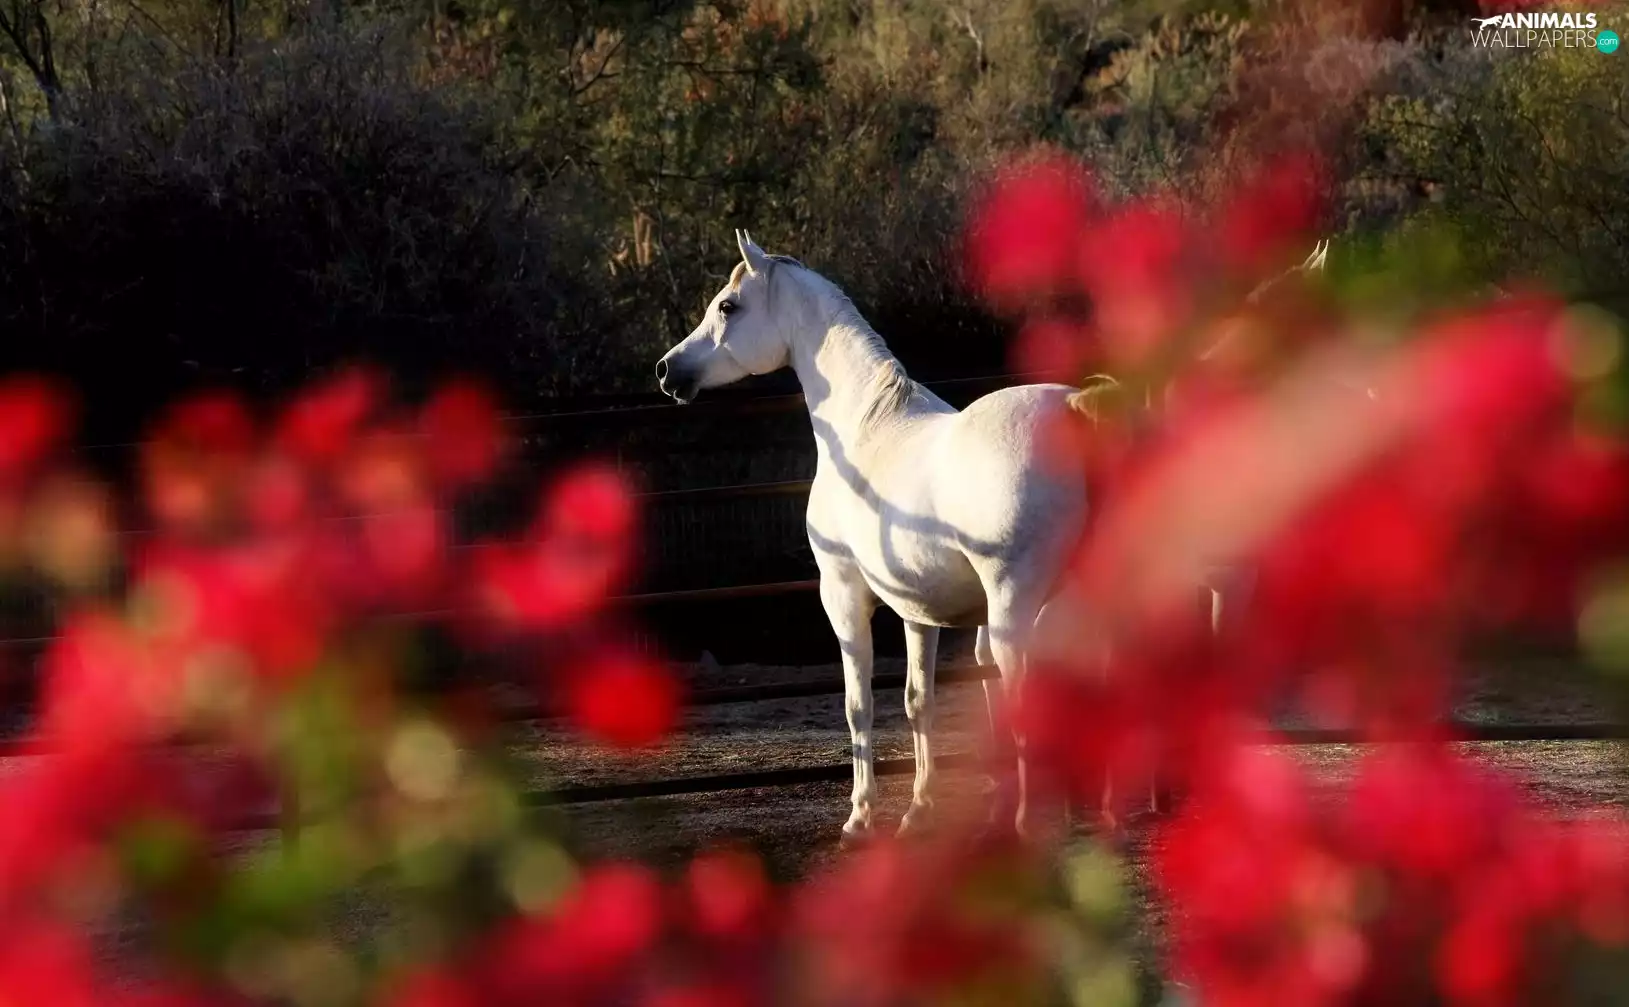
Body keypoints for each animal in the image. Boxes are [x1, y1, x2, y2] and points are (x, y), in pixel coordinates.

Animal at [656, 230, 1092, 842]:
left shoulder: (841, 594)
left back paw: (1030, 825)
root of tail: (1075, 410)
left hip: (1016, 611)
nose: (668, 370)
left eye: (727, 306)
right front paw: (920, 808)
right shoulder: (918, 609)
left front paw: (860, 814)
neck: (868, 425)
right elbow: (917, 701)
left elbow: (857, 704)